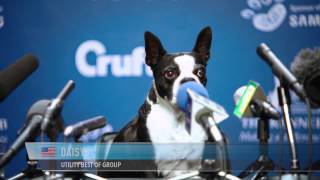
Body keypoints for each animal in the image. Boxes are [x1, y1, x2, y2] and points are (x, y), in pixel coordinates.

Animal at [100, 26, 212, 179]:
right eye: (169, 74)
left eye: (200, 72)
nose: (189, 80)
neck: (178, 118)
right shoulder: (150, 169)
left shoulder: (197, 169)